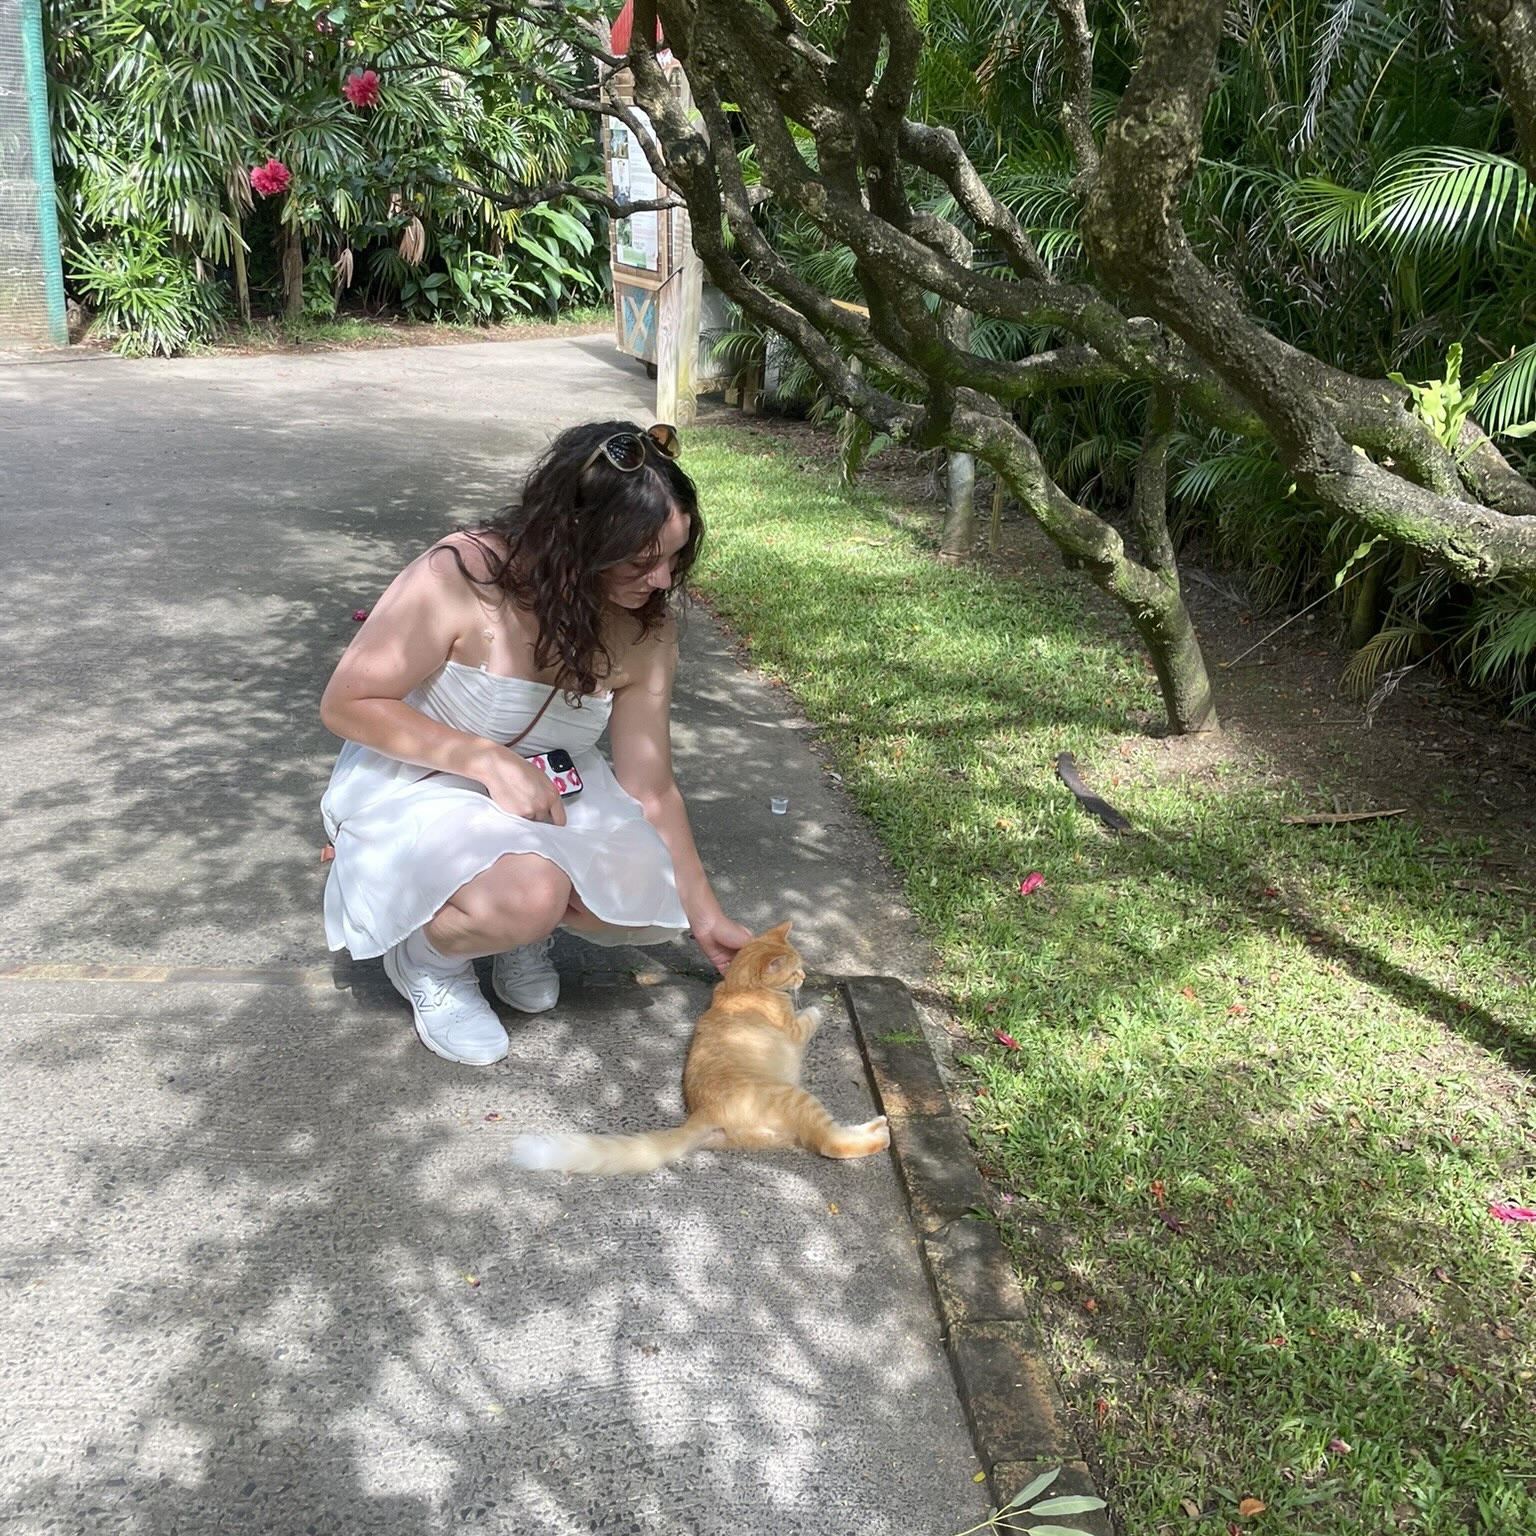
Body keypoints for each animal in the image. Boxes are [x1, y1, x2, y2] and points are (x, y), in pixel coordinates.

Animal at [506, 921, 890, 1173]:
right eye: (795, 971)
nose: (806, 978)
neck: (739, 988)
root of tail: (703, 1113)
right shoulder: (795, 1028)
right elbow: (810, 1015)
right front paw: (819, 1006)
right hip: (799, 1100)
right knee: (831, 1143)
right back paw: (881, 1131)